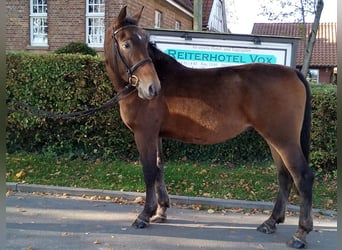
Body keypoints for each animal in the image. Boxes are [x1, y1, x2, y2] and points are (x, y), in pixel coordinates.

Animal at [103, 5, 312, 248]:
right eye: (127, 44)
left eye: (145, 42)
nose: (152, 88)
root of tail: (294, 72)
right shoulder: (156, 135)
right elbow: (159, 168)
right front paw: (161, 211)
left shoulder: (144, 134)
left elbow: (149, 171)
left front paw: (145, 215)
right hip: (274, 139)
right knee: (284, 176)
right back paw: (271, 222)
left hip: (284, 139)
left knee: (302, 177)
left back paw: (300, 233)